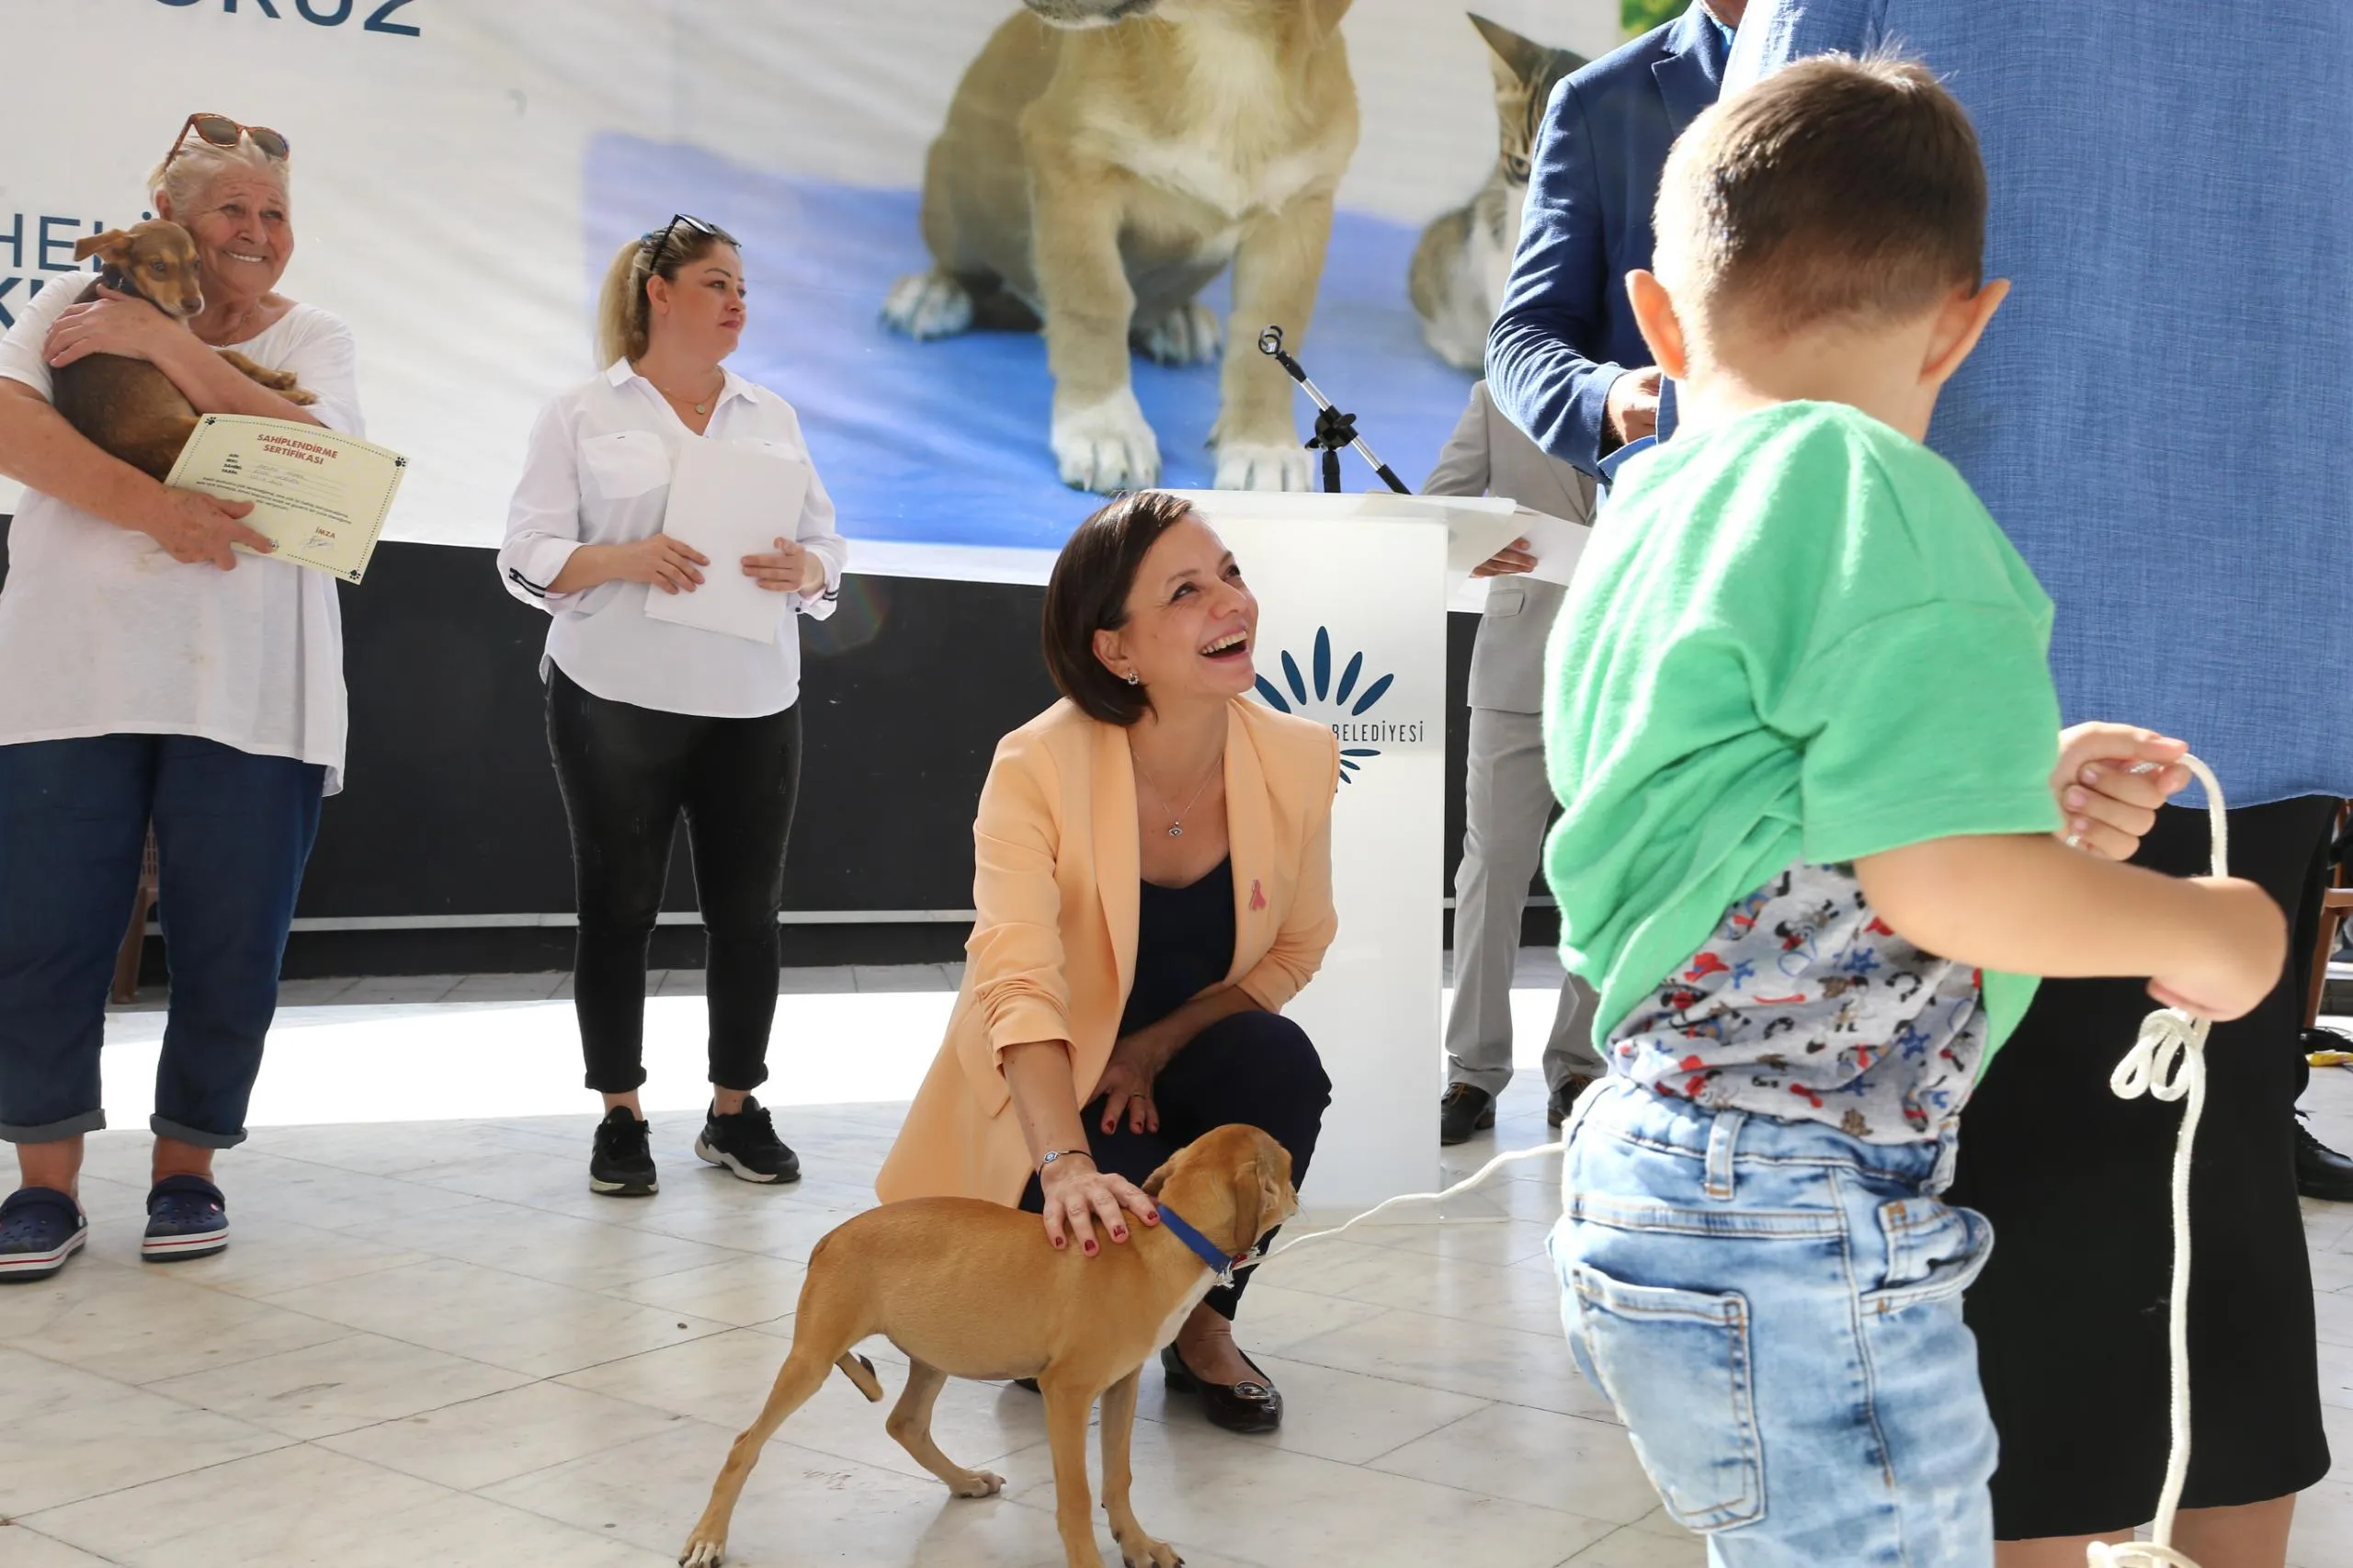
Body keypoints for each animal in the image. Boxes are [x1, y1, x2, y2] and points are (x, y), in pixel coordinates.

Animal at [51, 217, 317, 475]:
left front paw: (277, 376)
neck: (128, 285)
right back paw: (296, 398)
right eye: (158, 266)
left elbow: (230, 354)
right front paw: (288, 388)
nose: (194, 304)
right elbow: (231, 362)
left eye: (197, 264)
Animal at [682, 1125, 1299, 1562]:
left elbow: (1118, 1478)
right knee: (745, 1443)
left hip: (936, 1353)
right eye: (1289, 1165)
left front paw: (1139, 1545)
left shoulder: (1119, 1386)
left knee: (905, 1424)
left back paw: (964, 1480)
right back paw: (709, 1537)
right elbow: (1077, 1497)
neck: (1164, 1240)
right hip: (811, 1359)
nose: (1296, 1195)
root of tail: (829, 1238)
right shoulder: (1066, 1392)